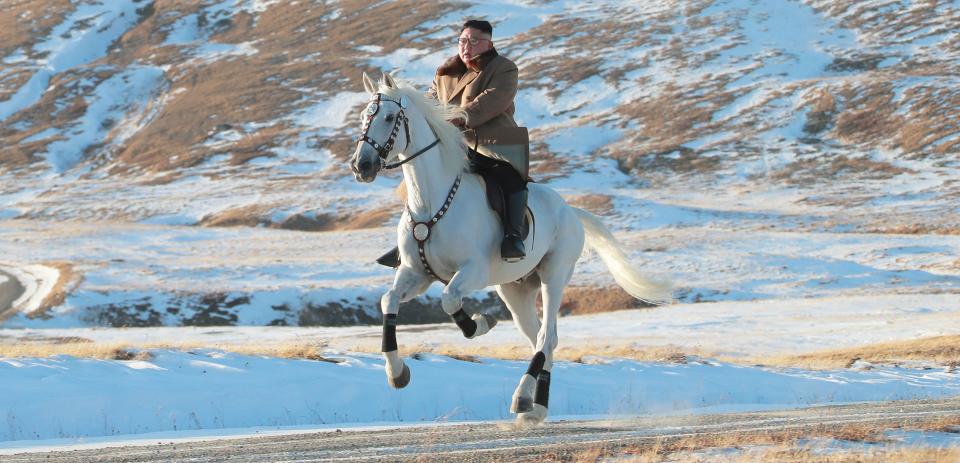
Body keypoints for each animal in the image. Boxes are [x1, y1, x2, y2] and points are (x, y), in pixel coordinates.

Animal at [348, 71, 672, 424]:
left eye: (389, 117)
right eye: (364, 116)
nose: (361, 165)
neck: (431, 202)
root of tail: (571, 211)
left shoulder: (472, 272)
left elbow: (449, 300)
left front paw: (480, 324)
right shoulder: (416, 273)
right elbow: (388, 301)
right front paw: (397, 373)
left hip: (553, 276)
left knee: (546, 337)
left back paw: (522, 398)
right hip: (515, 290)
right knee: (542, 340)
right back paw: (536, 407)